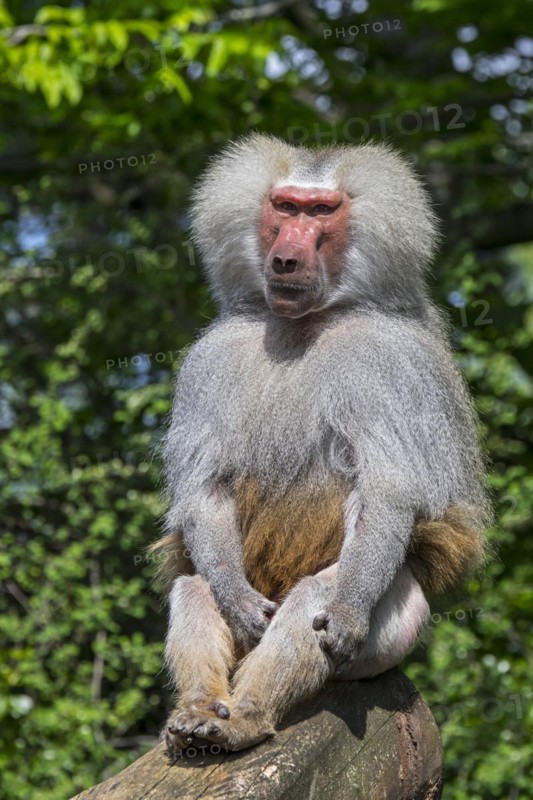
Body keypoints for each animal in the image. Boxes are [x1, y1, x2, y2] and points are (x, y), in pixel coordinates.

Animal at [151, 134, 490, 754]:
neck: (306, 322)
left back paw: (245, 717)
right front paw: (234, 602)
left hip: (387, 638)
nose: (286, 257)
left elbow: (386, 491)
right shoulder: (212, 359)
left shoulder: (387, 361)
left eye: (321, 213)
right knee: (194, 586)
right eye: (285, 208)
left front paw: (348, 610)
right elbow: (206, 492)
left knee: (313, 601)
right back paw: (198, 712)